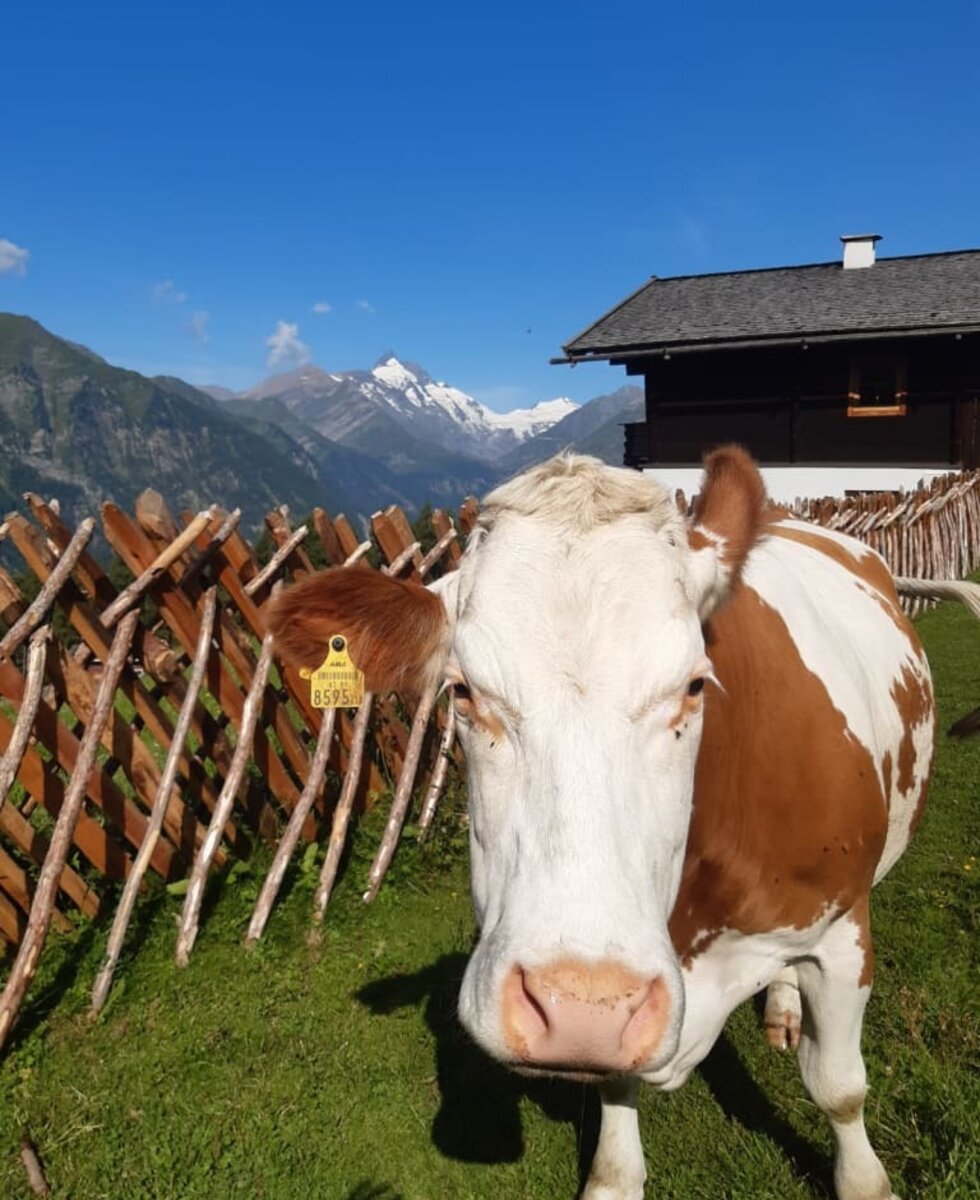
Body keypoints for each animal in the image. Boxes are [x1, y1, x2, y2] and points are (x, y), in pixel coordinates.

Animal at [263, 451, 950, 1200]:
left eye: (695, 685)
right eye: (463, 691)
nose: (579, 1005)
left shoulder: (843, 935)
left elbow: (839, 1088)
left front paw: (864, 1178)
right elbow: (618, 1092)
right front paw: (615, 1171)